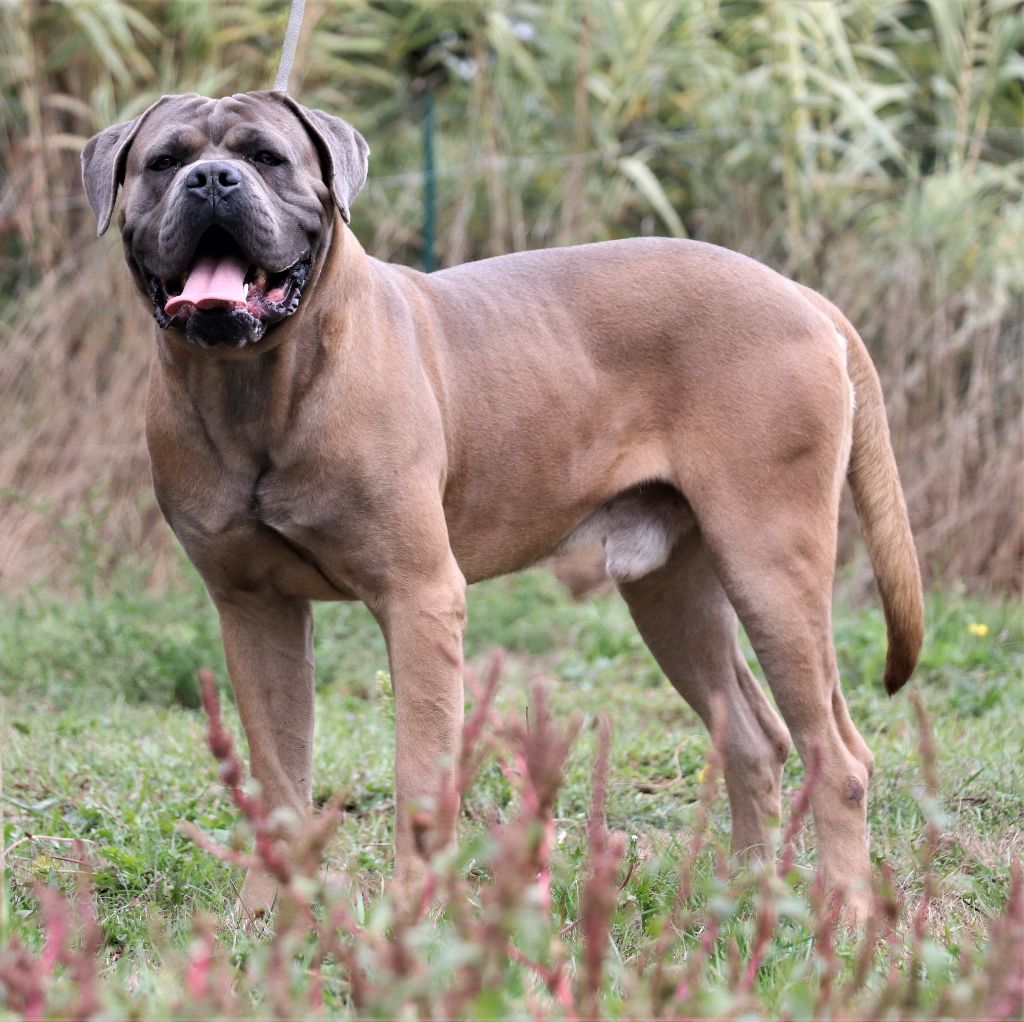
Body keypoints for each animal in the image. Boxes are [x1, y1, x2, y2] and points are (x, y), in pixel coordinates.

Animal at [83, 90, 925, 921]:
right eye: (164, 162)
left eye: (267, 157)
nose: (212, 179)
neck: (254, 386)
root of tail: (801, 295)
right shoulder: (253, 609)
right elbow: (279, 773)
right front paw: (269, 918)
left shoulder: (419, 598)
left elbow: (419, 775)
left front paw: (412, 917)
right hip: (673, 591)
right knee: (754, 738)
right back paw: (738, 901)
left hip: (770, 568)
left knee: (838, 755)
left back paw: (846, 916)